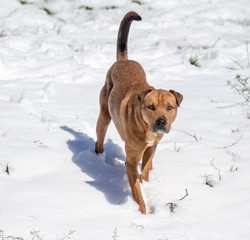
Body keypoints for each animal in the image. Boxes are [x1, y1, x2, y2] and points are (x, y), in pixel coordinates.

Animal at [94, 11, 183, 214]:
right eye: (151, 107)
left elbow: (146, 167)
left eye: (170, 107)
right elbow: (136, 189)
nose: (161, 122)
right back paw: (98, 155)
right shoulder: (131, 161)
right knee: (100, 136)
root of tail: (124, 60)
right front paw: (142, 211)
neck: (145, 127)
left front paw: (145, 180)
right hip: (104, 115)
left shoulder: (152, 146)